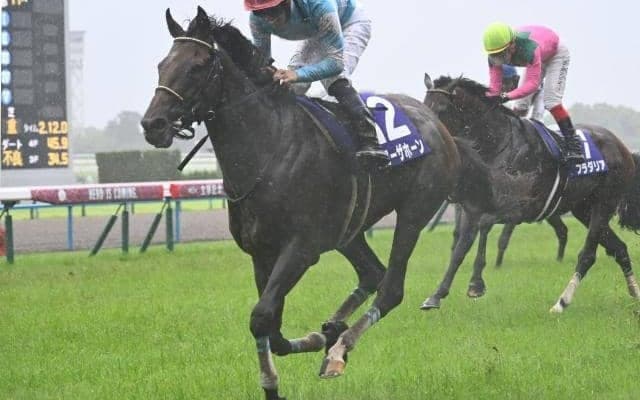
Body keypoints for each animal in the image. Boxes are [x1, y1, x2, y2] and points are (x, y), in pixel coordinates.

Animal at [141, 8, 460, 400]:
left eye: (198, 65)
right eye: (162, 64)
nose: (153, 124)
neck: (270, 149)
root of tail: (436, 122)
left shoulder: (300, 249)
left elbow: (261, 316)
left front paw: (284, 373)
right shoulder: (261, 252)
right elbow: (272, 327)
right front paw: (313, 341)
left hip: (414, 213)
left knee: (391, 289)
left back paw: (339, 350)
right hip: (348, 229)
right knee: (373, 272)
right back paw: (334, 332)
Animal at [420, 74, 640, 313]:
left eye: (441, 108)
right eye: (424, 105)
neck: (498, 146)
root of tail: (623, 148)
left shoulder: (521, 208)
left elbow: (485, 227)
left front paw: (476, 283)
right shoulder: (472, 209)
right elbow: (460, 249)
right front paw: (436, 295)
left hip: (604, 203)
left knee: (588, 255)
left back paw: (561, 302)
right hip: (583, 209)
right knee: (619, 248)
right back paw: (635, 293)